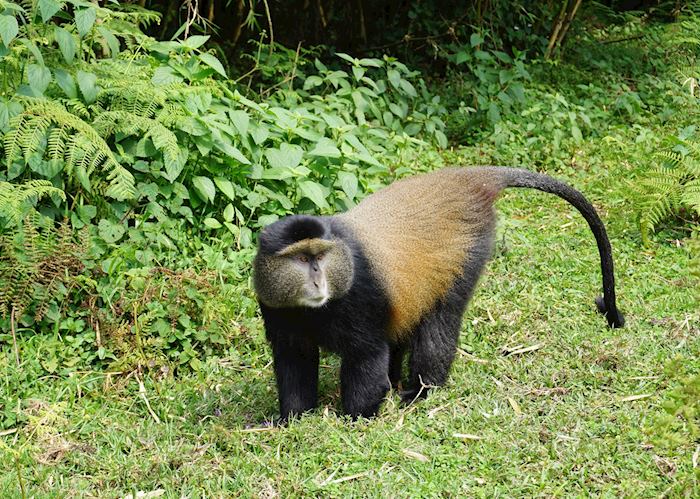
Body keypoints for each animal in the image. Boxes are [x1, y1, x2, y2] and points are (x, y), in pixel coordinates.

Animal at [253, 166, 624, 421]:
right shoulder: (275, 308)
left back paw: (420, 392)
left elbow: (367, 356)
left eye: (320, 256)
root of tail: (465, 181)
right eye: (302, 259)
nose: (318, 281)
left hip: (468, 254)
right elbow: (295, 361)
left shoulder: (361, 298)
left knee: (440, 322)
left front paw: (355, 420)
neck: (316, 308)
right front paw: (292, 420)